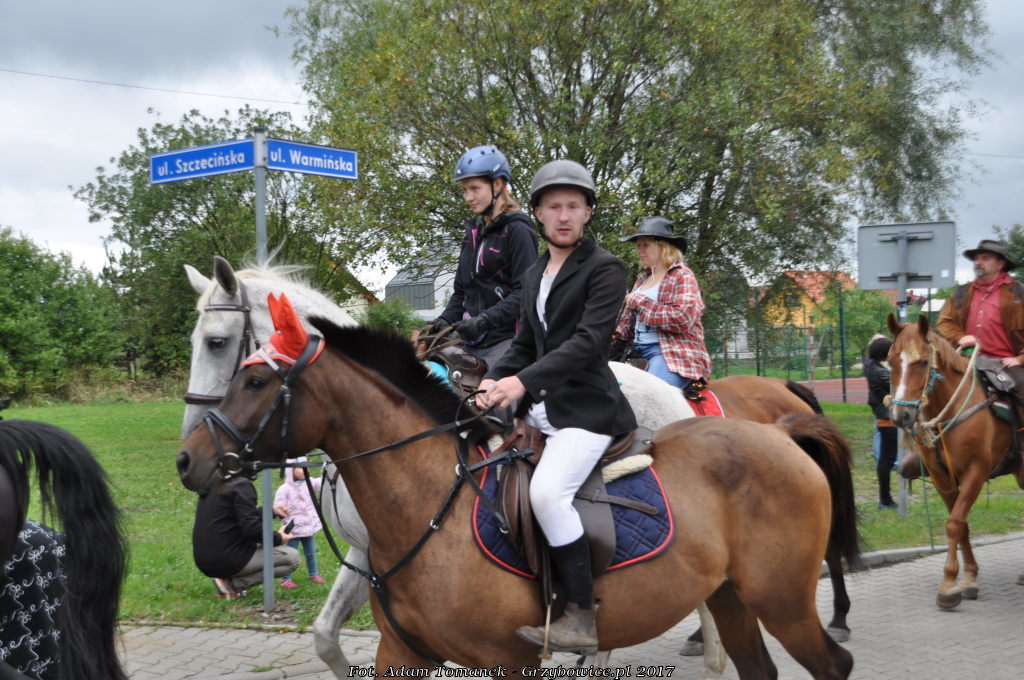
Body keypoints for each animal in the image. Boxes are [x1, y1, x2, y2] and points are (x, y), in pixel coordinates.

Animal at [886, 313, 1024, 608]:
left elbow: (954, 523)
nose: (900, 416)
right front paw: (968, 578)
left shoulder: (976, 472)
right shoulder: (942, 477)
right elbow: (961, 525)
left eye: (923, 362)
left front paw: (949, 585)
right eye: (890, 361)